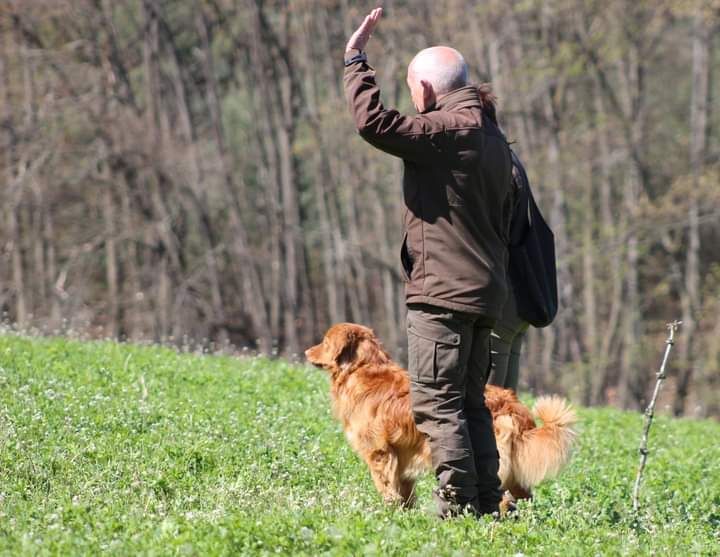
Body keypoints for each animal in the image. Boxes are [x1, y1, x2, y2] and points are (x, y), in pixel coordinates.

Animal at [306, 322, 580, 508]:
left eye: (325, 342)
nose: (307, 351)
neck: (363, 370)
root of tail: (513, 404)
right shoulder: (402, 458)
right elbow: (405, 493)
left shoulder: (379, 453)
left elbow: (386, 487)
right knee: (523, 499)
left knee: (501, 497)